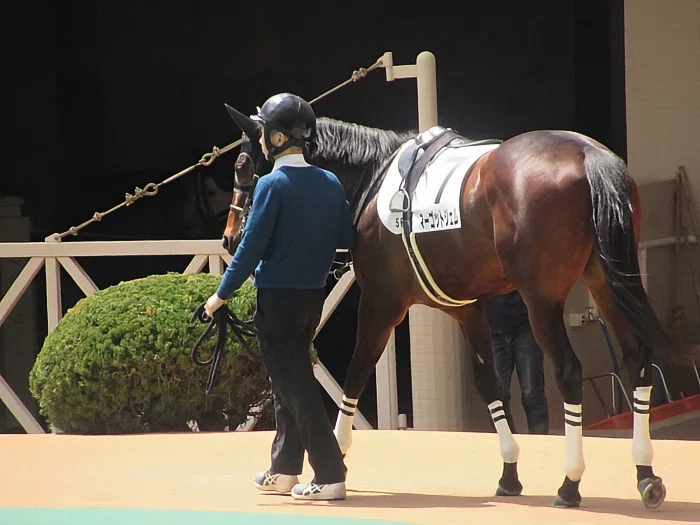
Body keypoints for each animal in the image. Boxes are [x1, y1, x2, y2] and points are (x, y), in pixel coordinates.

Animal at [219, 109, 700, 510]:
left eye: (240, 165)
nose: (228, 238)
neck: (376, 177)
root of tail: (586, 153)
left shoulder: (380, 304)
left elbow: (355, 374)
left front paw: (334, 461)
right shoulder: (468, 308)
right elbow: (490, 384)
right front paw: (509, 474)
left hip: (541, 299)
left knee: (568, 372)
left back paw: (570, 484)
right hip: (606, 282)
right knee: (637, 358)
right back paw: (646, 475)